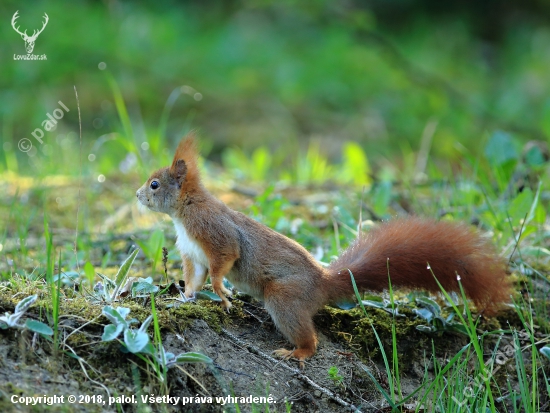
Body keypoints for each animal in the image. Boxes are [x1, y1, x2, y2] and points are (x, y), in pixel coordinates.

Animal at [137, 134, 512, 364]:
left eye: (154, 184)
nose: (138, 196)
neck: (185, 211)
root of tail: (323, 283)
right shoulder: (192, 255)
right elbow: (194, 279)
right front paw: (184, 298)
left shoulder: (215, 233)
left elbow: (224, 260)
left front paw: (222, 294)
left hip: (284, 298)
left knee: (310, 338)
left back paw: (298, 353)